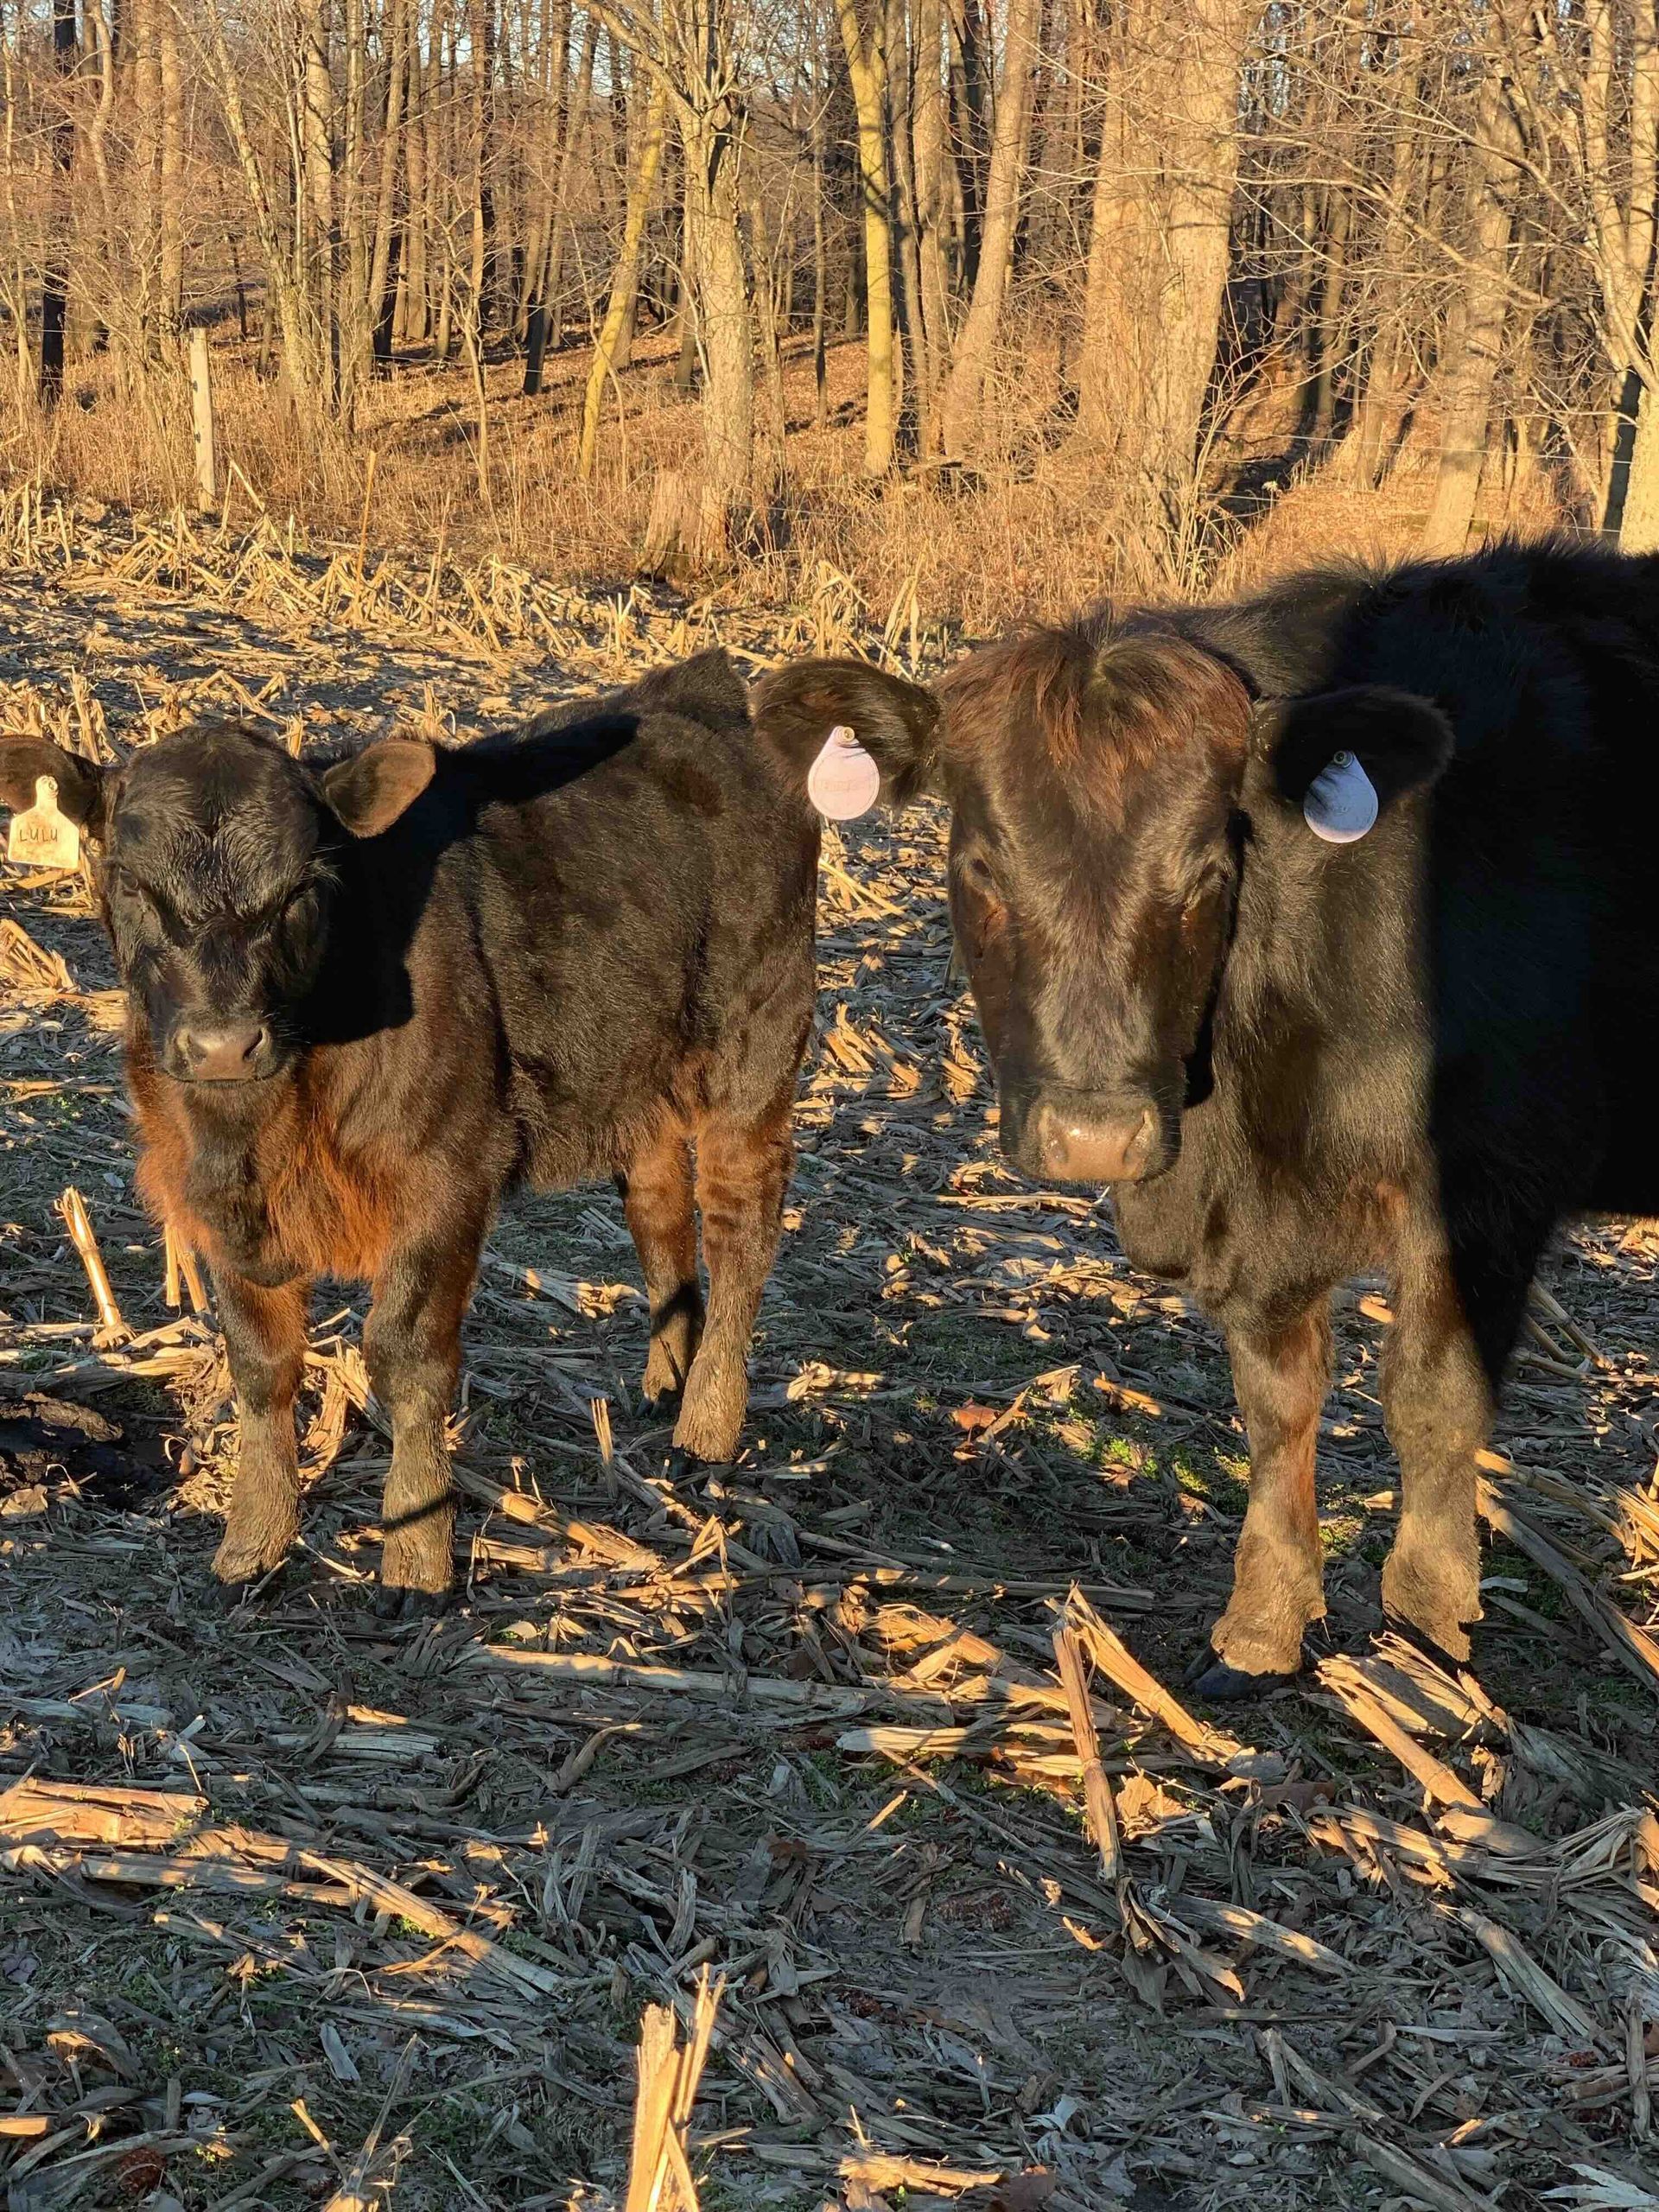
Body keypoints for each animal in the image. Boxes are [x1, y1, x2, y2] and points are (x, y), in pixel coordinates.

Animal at [1, 651, 818, 1610]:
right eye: (131, 883)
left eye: (303, 888)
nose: (222, 1043)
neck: (267, 1115)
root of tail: (707, 695)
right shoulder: (218, 1197)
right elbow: (260, 1363)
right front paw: (253, 1543)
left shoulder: (447, 1176)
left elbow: (407, 1355)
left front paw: (417, 1552)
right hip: (633, 1073)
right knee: (658, 1207)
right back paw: (667, 1383)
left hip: (754, 1055)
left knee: (740, 1227)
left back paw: (708, 1425)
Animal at [755, 541, 1659, 1694]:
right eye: (980, 867)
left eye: (1206, 874)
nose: (1095, 1133)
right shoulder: (1259, 1223)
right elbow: (1278, 1405)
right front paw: (1265, 1621)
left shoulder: (1489, 1187)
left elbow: (1434, 1399)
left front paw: (1428, 1627)